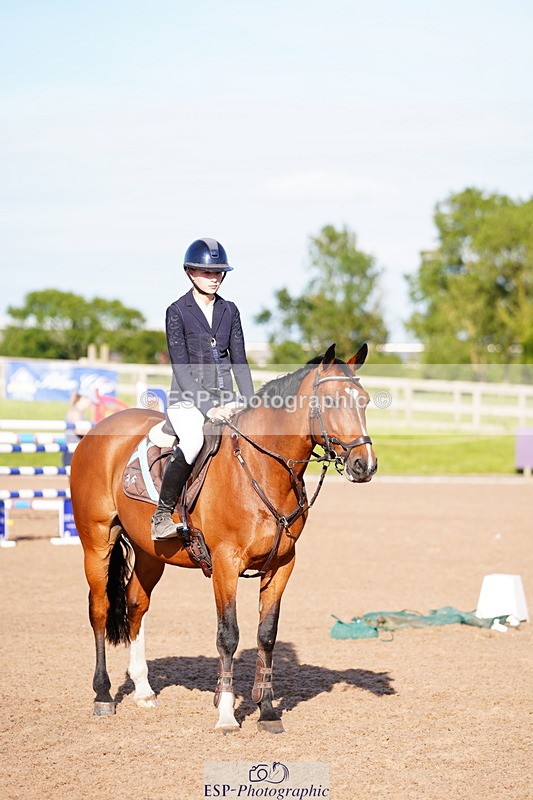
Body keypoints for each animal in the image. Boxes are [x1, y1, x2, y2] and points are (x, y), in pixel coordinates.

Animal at [71, 343, 377, 733]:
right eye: (332, 401)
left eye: (364, 401)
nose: (365, 466)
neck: (261, 468)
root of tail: (101, 428)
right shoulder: (225, 564)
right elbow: (228, 635)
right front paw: (227, 713)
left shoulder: (282, 565)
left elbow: (266, 635)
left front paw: (267, 711)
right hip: (96, 542)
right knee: (100, 609)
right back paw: (103, 695)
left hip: (151, 553)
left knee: (136, 603)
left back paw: (143, 690)